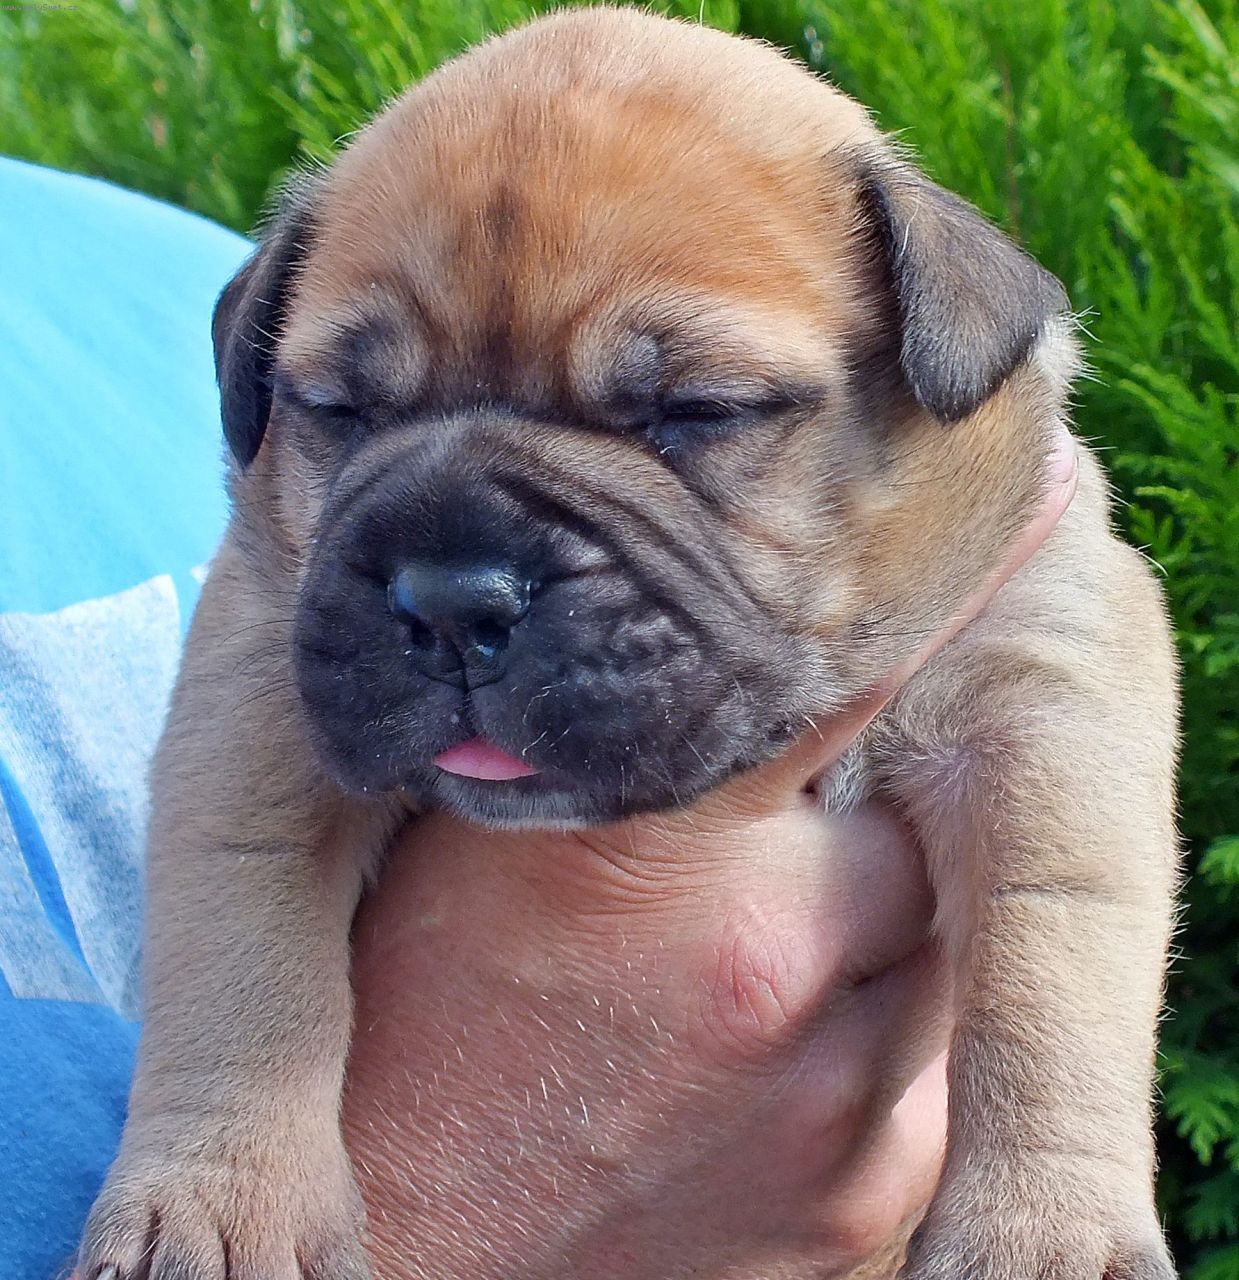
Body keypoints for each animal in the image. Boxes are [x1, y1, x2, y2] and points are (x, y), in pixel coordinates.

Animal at [79, 8, 1180, 1279]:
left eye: (695, 412)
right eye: (341, 411)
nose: (453, 594)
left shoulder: (1044, 706)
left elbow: (1048, 966)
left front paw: (1043, 1229)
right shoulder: (253, 702)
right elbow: (243, 950)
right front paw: (220, 1200)